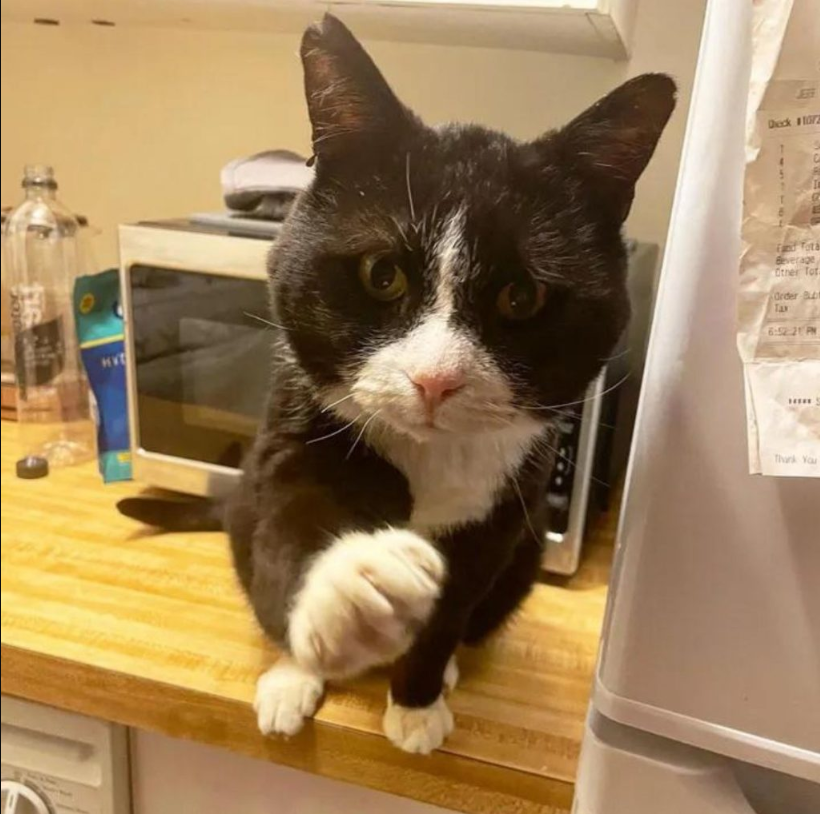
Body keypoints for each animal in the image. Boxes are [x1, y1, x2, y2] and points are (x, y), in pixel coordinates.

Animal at [118, 14, 676, 752]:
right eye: (382, 274)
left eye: (521, 297)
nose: (435, 379)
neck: (430, 457)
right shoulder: (291, 440)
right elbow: (291, 534)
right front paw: (354, 586)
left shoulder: (501, 513)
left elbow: (450, 607)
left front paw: (417, 701)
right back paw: (295, 673)